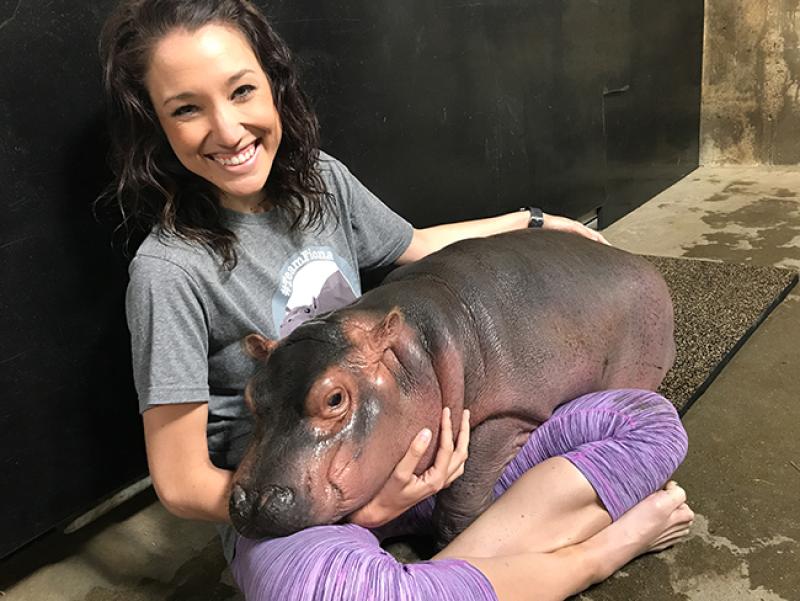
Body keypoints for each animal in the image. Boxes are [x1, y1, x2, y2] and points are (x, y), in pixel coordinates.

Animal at [229, 229, 675, 545]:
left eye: (334, 398)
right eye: (250, 394)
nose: (252, 502)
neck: (421, 344)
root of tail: (646, 267)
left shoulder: (506, 414)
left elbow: (462, 494)